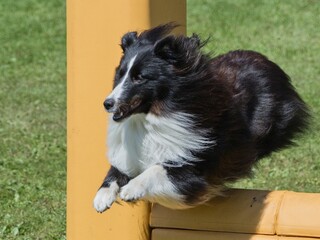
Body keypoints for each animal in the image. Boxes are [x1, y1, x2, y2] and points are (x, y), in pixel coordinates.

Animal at [92, 23, 308, 213]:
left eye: (139, 77)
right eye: (120, 75)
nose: (107, 103)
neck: (150, 119)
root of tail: (262, 58)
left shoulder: (194, 172)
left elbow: (158, 168)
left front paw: (131, 189)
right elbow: (117, 169)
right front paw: (102, 197)